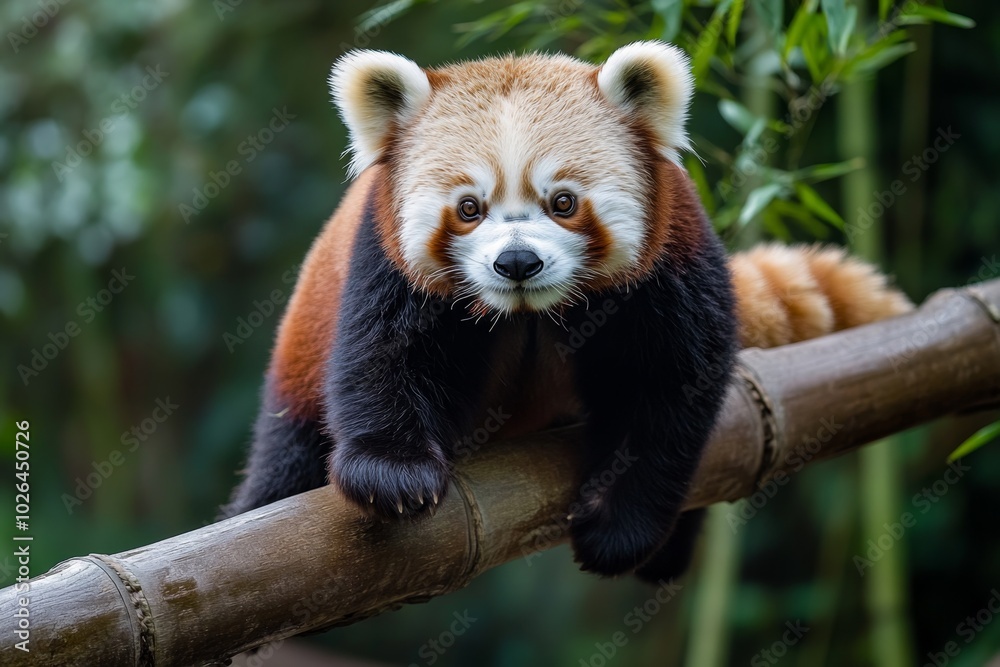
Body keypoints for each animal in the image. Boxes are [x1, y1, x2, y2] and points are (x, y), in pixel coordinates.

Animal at [223, 41, 911, 581]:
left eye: (562, 202)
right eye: (469, 208)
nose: (517, 262)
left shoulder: (673, 255)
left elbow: (666, 401)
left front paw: (619, 527)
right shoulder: (381, 252)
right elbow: (381, 356)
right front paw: (392, 476)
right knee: (285, 456)